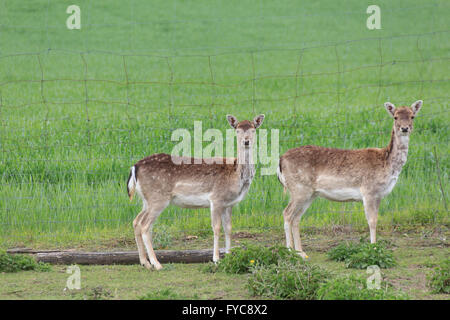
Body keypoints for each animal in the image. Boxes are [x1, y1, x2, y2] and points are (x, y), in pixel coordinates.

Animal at [126, 114, 266, 268]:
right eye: (237, 130)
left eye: (253, 129)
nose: (246, 141)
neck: (236, 176)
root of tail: (135, 167)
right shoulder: (216, 199)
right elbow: (216, 227)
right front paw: (216, 259)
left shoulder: (229, 204)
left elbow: (228, 228)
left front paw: (229, 256)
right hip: (158, 198)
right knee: (145, 225)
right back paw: (156, 264)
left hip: (147, 199)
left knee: (136, 221)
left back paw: (145, 262)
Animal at [278, 100, 422, 258]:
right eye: (395, 117)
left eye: (412, 116)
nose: (404, 128)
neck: (388, 165)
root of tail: (280, 160)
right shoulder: (369, 191)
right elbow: (372, 221)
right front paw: (374, 249)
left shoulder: (379, 195)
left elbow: (375, 219)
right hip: (299, 189)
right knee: (287, 213)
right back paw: (290, 251)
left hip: (310, 193)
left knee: (296, 217)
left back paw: (301, 253)